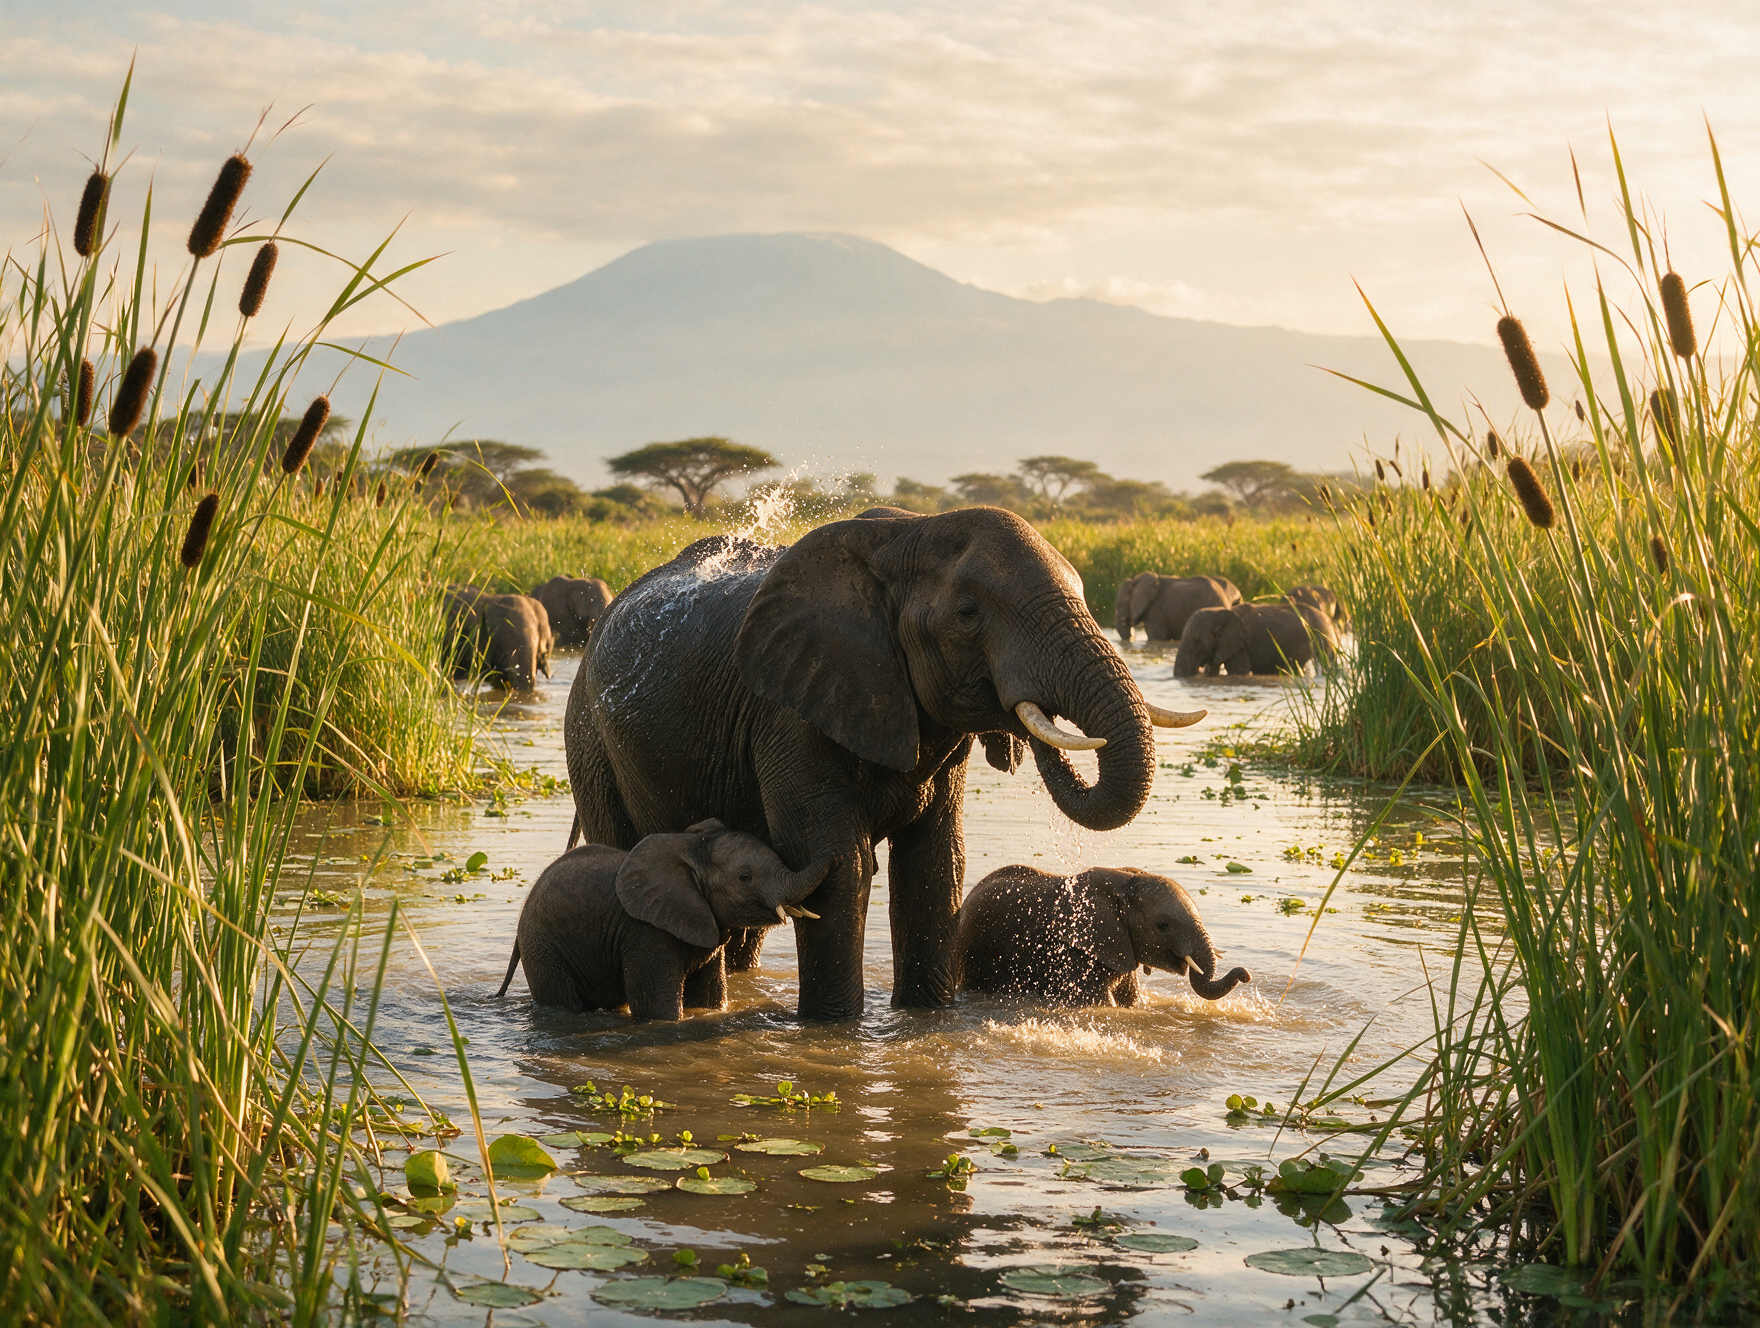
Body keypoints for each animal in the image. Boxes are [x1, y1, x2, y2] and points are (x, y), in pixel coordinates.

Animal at [495, 820, 833, 1020]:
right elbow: (657, 1009)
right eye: (744, 877)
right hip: (543, 948)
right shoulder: (645, 933)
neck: (691, 850)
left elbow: (711, 998)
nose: (834, 855)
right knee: (563, 1003)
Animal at [563, 506, 1207, 1021]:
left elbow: (936, 864)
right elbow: (838, 864)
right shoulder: (790, 713)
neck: (908, 533)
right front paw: (833, 1029)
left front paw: (925, 1020)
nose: (1028, 718)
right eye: (968, 612)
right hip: (588, 737)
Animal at [954, 864, 1251, 1005]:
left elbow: (1133, 1001)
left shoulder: (1120, 943)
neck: (1123, 880)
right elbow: (1102, 1003)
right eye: (1163, 925)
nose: (1245, 975)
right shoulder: (1074, 953)